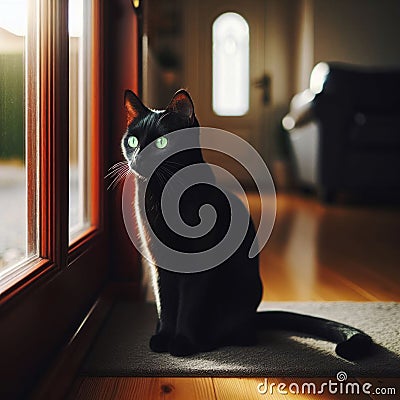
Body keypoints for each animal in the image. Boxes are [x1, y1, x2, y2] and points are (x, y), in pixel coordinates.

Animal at [119, 89, 372, 360]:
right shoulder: (158, 263)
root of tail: (253, 317)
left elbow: (188, 307)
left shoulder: (199, 265)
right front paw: (163, 339)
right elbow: (165, 305)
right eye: (132, 142)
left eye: (162, 143)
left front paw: (182, 343)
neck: (161, 192)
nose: (138, 157)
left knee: (241, 332)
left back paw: (212, 341)